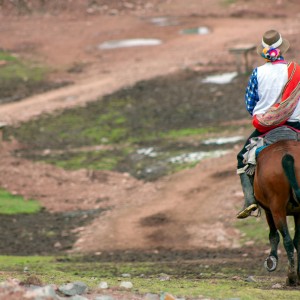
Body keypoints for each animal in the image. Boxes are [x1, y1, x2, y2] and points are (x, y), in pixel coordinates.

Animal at [255, 139, 300, 284]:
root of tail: (287, 155)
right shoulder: (298, 213)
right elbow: (298, 240)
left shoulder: (269, 211)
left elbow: (273, 235)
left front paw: (272, 259)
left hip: (276, 208)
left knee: (287, 240)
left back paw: (291, 277)